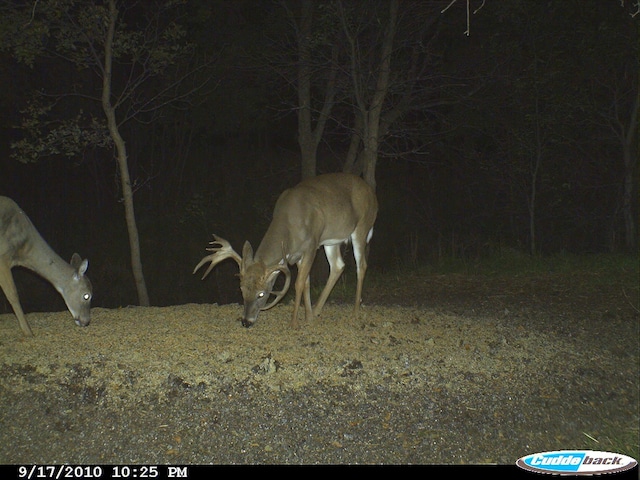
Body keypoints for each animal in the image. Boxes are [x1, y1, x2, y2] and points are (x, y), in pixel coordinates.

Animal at [192, 173, 378, 330]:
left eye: (261, 294)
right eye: (242, 289)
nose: (246, 322)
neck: (289, 223)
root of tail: (372, 192)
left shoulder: (311, 245)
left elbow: (298, 283)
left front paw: (294, 322)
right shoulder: (296, 254)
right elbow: (306, 283)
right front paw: (308, 317)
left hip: (362, 227)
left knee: (361, 265)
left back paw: (355, 313)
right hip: (332, 240)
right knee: (338, 265)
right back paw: (317, 310)